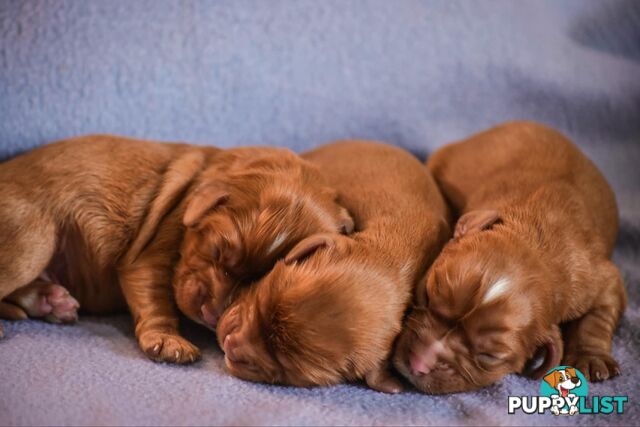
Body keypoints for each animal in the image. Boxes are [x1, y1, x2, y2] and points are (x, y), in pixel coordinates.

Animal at [0, 136, 356, 364]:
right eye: (216, 251)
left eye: (260, 283)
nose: (211, 315)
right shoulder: (153, 248)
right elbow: (155, 297)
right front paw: (166, 340)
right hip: (33, 237)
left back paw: (49, 300)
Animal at [392, 120, 628, 394]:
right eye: (427, 296)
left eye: (489, 356)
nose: (419, 363)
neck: (535, 241)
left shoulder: (597, 278)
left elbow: (600, 313)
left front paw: (590, 357)